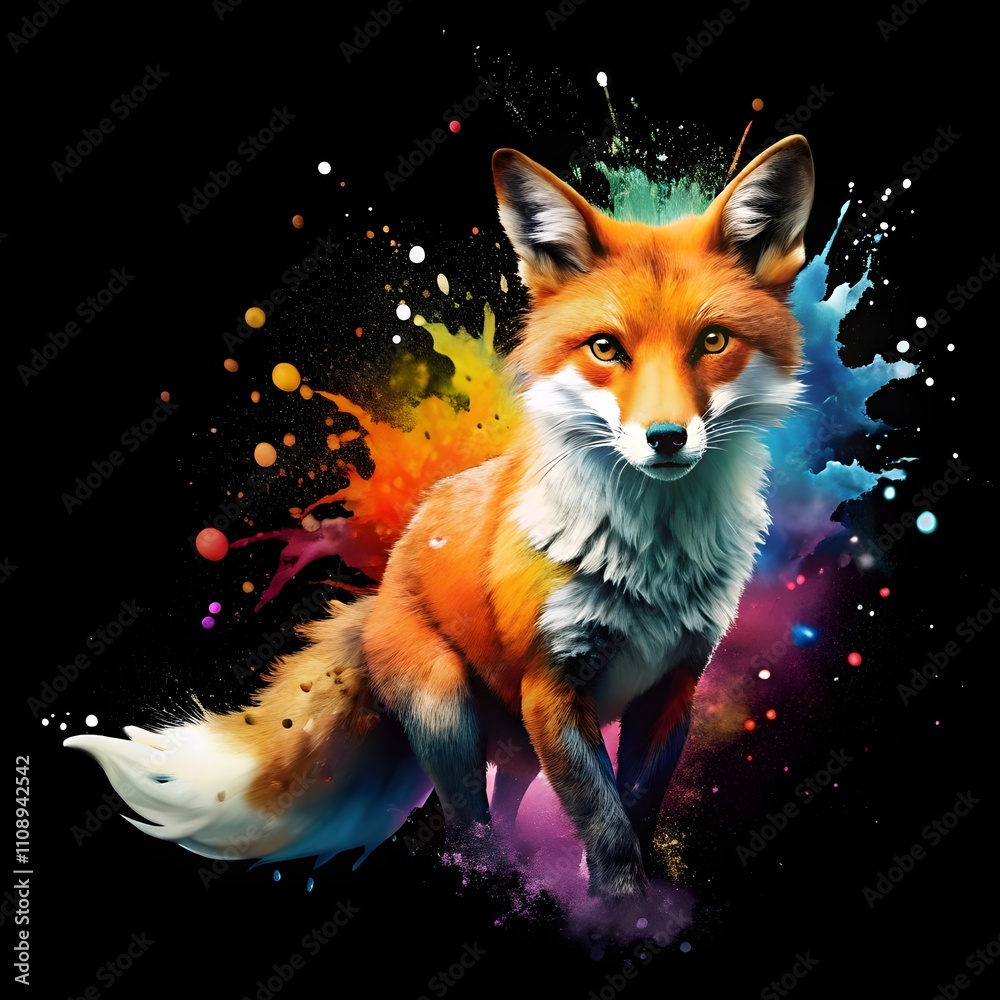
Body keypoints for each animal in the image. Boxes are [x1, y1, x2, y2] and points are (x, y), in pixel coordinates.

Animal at [66, 134, 814, 899]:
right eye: (606, 348)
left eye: (713, 342)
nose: (665, 438)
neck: (651, 563)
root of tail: (383, 582)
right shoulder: (553, 684)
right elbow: (605, 826)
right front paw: (622, 909)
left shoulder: (671, 687)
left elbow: (632, 810)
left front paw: (635, 903)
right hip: (448, 707)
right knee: (466, 824)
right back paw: (488, 877)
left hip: (518, 741)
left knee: (504, 806)